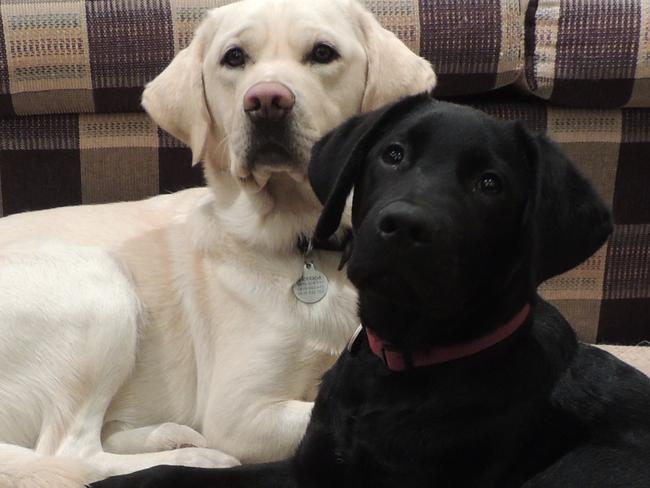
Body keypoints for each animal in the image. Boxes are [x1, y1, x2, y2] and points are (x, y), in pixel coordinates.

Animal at [90, 95, 648, 488]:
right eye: (393, 155)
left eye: (491, 184)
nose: (402, 226)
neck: (396, 366)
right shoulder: (309, 465)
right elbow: (175, 474)